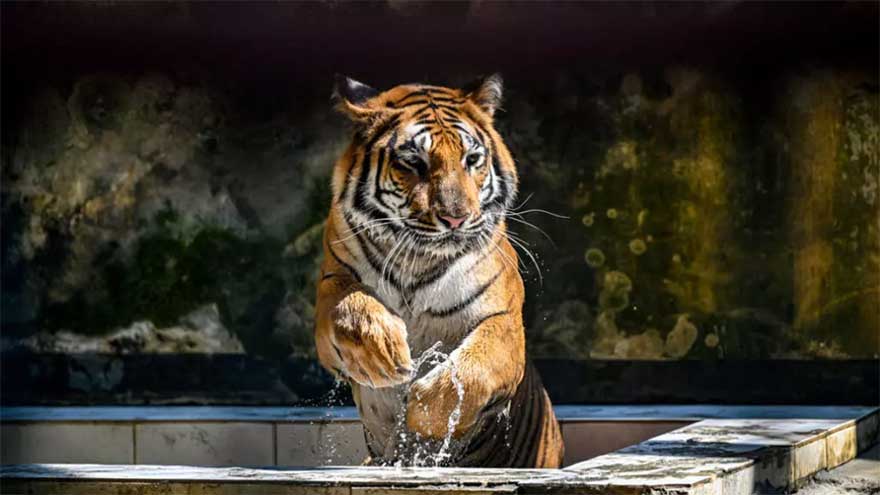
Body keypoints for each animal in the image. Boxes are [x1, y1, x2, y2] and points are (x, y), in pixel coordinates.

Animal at [314, 74, 564, 468]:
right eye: (414, 162)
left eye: (472, 159)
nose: (456, 218)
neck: (416, 259)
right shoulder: (332, 283)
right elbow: (348, 307)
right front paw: (384, 353)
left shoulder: (504, 321)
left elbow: (473, 368)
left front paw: (420, 412)